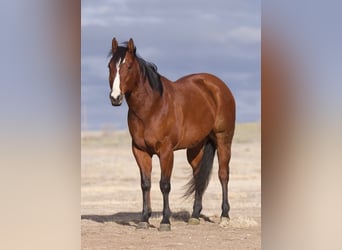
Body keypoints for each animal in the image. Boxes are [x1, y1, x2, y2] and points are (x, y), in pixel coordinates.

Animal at [107, 37, 235, 230]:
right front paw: (144, 219)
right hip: (196, 148)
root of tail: (218, 86)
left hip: (223, 140)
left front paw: (165, 221)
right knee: (198, 177)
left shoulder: (166, 152)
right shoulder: (140, 151)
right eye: (110, 66)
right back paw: (195, 216)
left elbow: (164, 185)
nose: (115, 98)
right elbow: (145, 184)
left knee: (223, 175)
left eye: (128, 66)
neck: (152, 107)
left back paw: (225, 216)